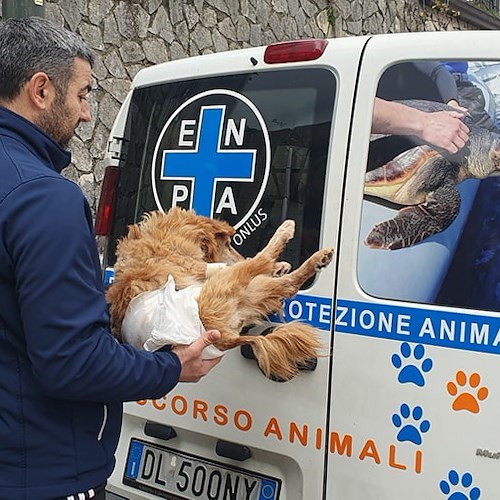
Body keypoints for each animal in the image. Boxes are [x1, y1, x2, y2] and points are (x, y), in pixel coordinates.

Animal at [105, 207, 332, 378]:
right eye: (229, 244)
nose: (240, 256)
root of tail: (226, 337)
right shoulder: (203, 268)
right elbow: (252, 262)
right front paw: (277, 263)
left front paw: (280, 266)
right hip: (231, 283)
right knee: (262, 259)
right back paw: (288, 231)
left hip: (250, 292)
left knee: (287, 283)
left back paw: (316, 259)